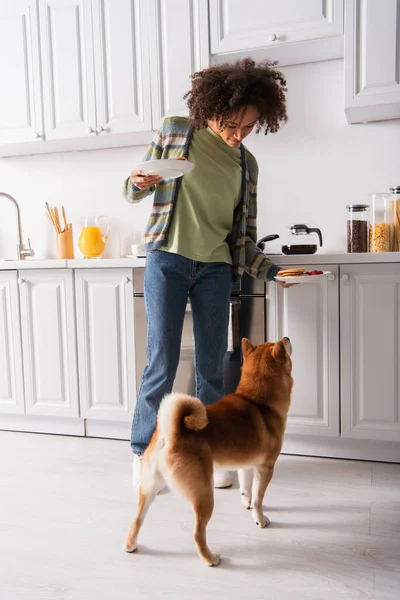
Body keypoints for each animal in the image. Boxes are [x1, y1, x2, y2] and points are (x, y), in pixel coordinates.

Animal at [125, 338, 294, 568]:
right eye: (280, 345)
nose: (287, 338)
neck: (258, 402)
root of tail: (171, 432)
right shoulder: (265, 468)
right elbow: (259, 498)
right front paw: (260, 519)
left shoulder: (246, 466)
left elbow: (247, 490)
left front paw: (248, 505)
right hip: (204, 494)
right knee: (198, 532)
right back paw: (211, 558)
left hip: (150, 488)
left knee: (137, 518)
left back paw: (131, 545)